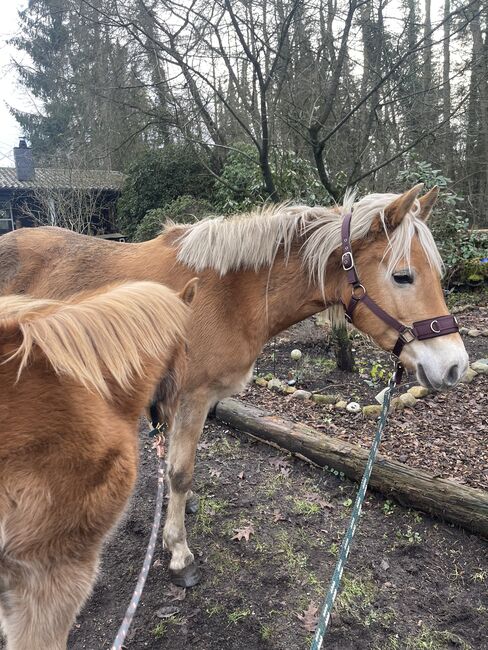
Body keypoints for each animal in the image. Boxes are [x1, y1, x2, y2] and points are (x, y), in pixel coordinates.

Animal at [0, 184, 468, 588]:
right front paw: (179, 553)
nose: (454, 366)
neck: (229, 295)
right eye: (403, 276)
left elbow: (179, 468)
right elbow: (180, 471)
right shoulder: (190, 399)